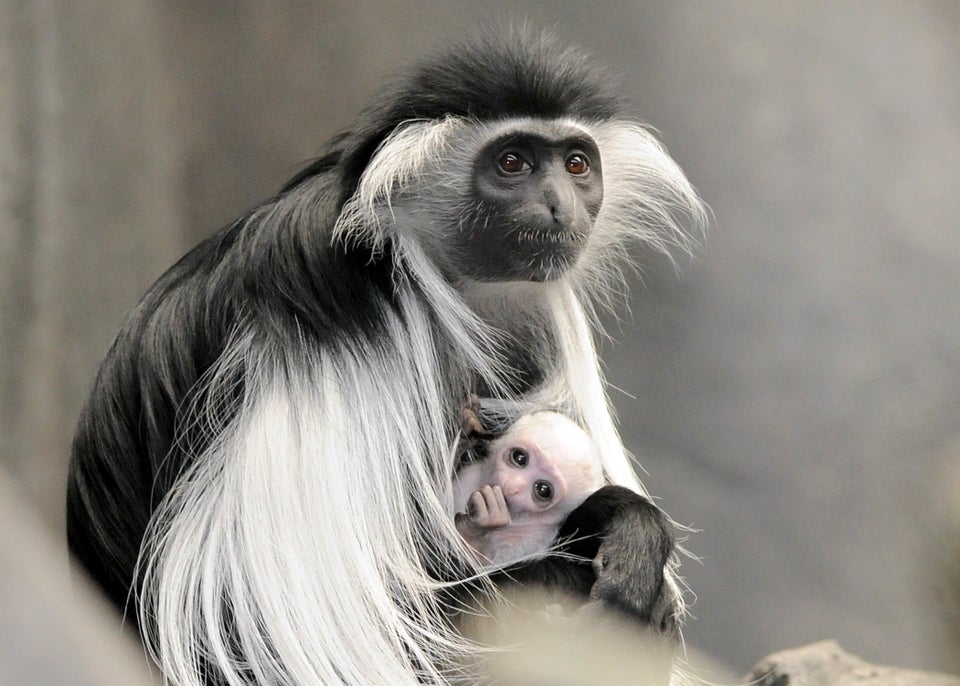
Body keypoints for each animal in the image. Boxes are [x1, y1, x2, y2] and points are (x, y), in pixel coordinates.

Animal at [454, 400, 604, 568]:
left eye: (543, 490)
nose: (512, 486)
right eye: (519, 458)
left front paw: (475, 527)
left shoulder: (530, 540)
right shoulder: (469, 475)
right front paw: (465, 435)